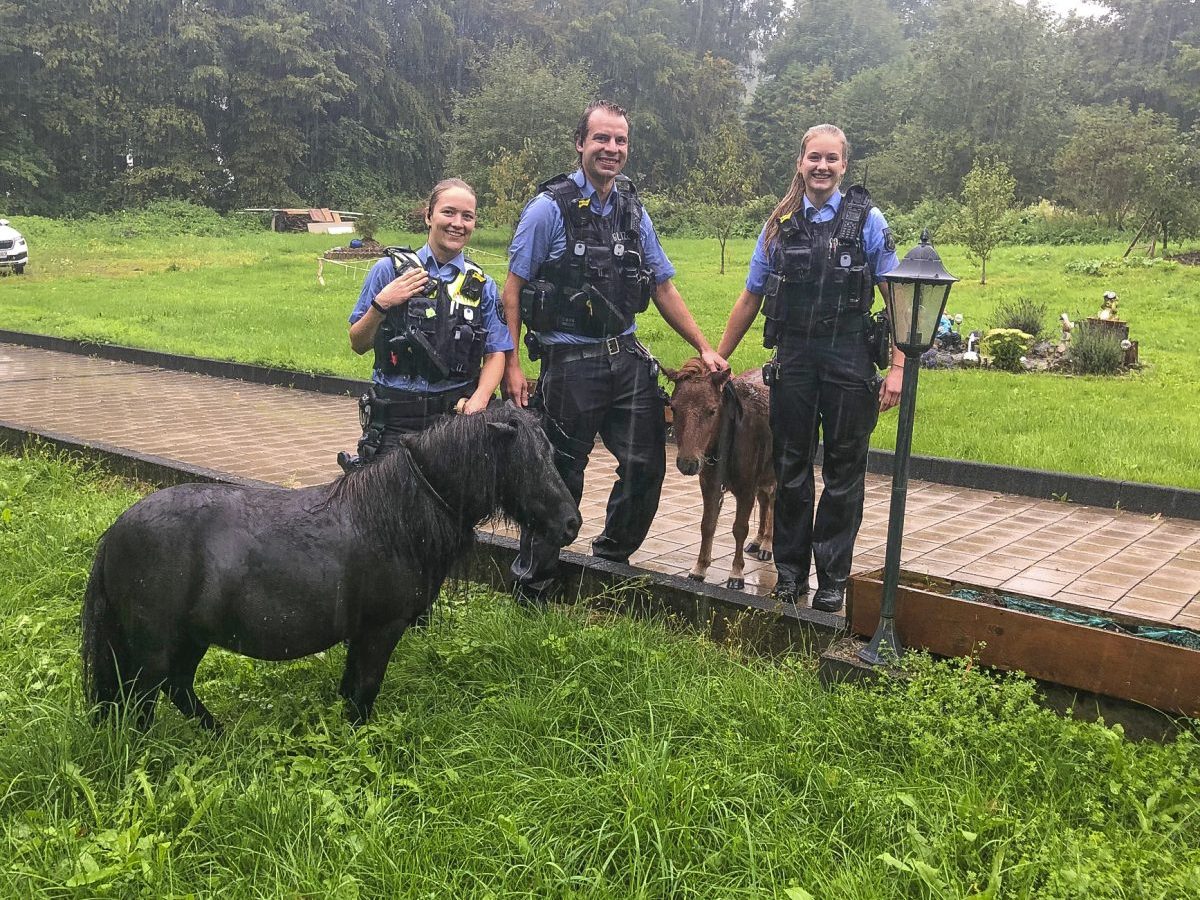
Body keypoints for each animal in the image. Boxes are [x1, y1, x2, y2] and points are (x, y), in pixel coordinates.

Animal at [82, 405, 578, 729]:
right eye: (528, 460)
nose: (571, 523)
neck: (396, 516)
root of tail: (115, 532)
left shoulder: (362, 633)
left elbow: (351, 686)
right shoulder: (382, 629)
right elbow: (365, 689)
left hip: (189, 638)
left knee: (178, 688)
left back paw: (218, 734)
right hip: (155, 646)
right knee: (143, 704)